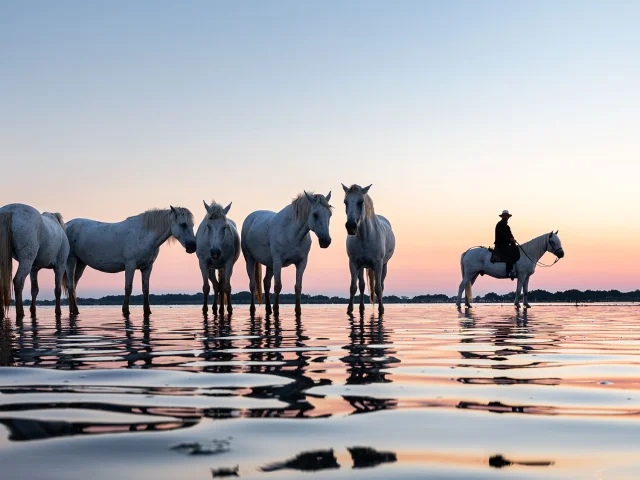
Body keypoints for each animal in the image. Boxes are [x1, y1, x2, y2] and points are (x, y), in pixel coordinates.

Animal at [64, 205, 196, 316]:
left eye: (192, 225)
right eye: (183, 224)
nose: (192, 247)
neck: (144, 234)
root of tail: (66, 225)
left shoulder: (147, 267)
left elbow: (146, 289)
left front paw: (147, 311)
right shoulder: (130, 265)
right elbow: (128, 287)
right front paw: (125, 310)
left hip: (81, 263)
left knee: (74, 284)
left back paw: (72, 309)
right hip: (71, 260)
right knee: (70, 285)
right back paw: (75, 310)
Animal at [342, 184, 392, 316]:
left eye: (361, 201)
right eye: (345, 202)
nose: (351, 226)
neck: (365, 236)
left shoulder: (378, 264)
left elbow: (378, 288)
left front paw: (381, 309)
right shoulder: (354, 263)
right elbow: (354, 287)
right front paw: (350, 309)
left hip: (384, 265)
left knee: (381, 285)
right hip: (362, 266)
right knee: (362, 286)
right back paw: (361, 308)